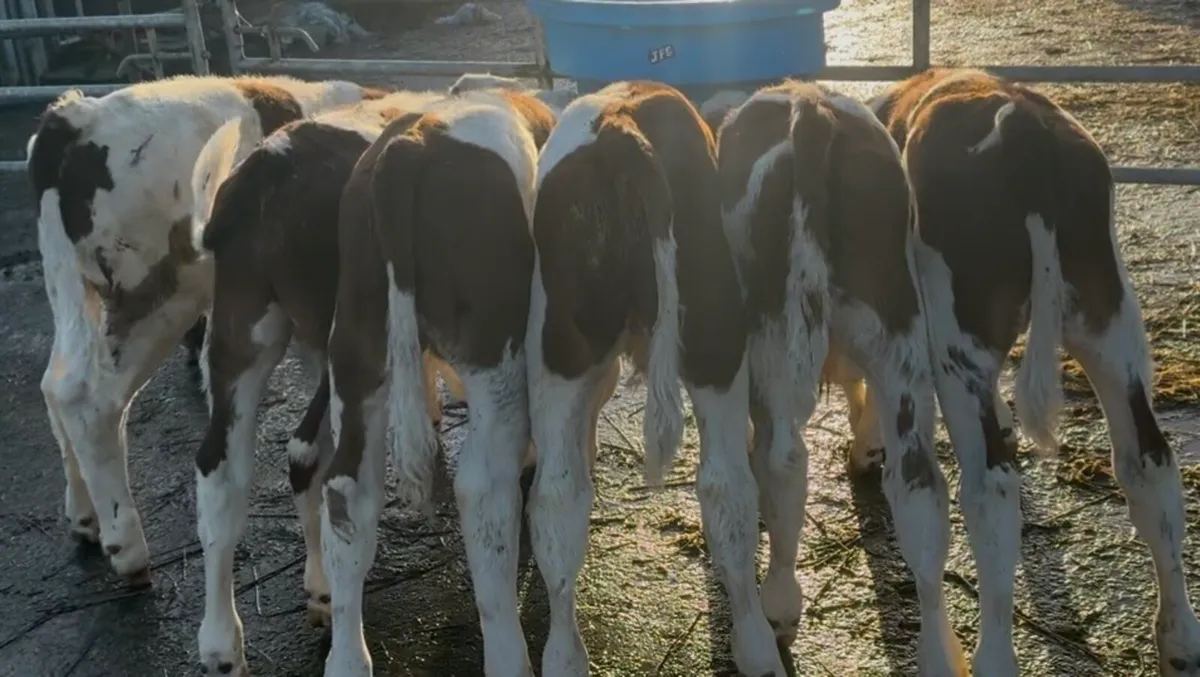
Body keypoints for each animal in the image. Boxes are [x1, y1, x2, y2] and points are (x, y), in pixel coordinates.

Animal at [26, 74, 390, 583]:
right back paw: (126, 542)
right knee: (91, 399)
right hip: (156, 294)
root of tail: (76, 116)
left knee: (56, 383)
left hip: (72, 287)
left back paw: (84, 515)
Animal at [318, 90, 556, 676]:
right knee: (483, 491)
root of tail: (411, 145)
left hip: (356, 347)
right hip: (494, 348)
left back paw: (348, 659)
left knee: (348, 495)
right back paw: (509, 656)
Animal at [715, 79, 956, 675]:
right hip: (898, 324)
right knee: (919, 485)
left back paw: (778, 607)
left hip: (776, 334)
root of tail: (811, 109)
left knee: (782, 462)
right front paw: (865, 445)